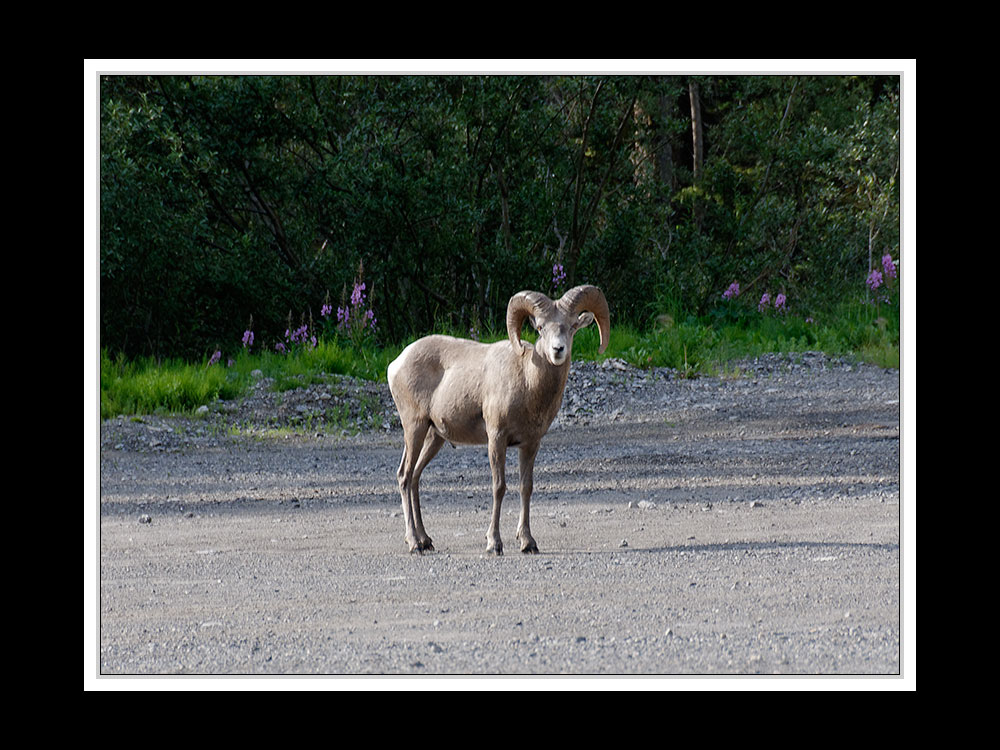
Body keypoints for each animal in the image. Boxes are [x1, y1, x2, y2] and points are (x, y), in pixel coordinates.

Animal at [386, 284, 608, 556]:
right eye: (540, 327)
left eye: (572, 325)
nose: (558, 350)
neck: (526, 380)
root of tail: (395, 365)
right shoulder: (496, 439)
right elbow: (499, 487)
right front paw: (494, 544)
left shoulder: (530, 444)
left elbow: (526, 487)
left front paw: (528, 543)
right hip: (414, 428)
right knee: (405, 477)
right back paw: (414, 544)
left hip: (433, 437)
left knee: (415, 477)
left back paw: (426, 540)